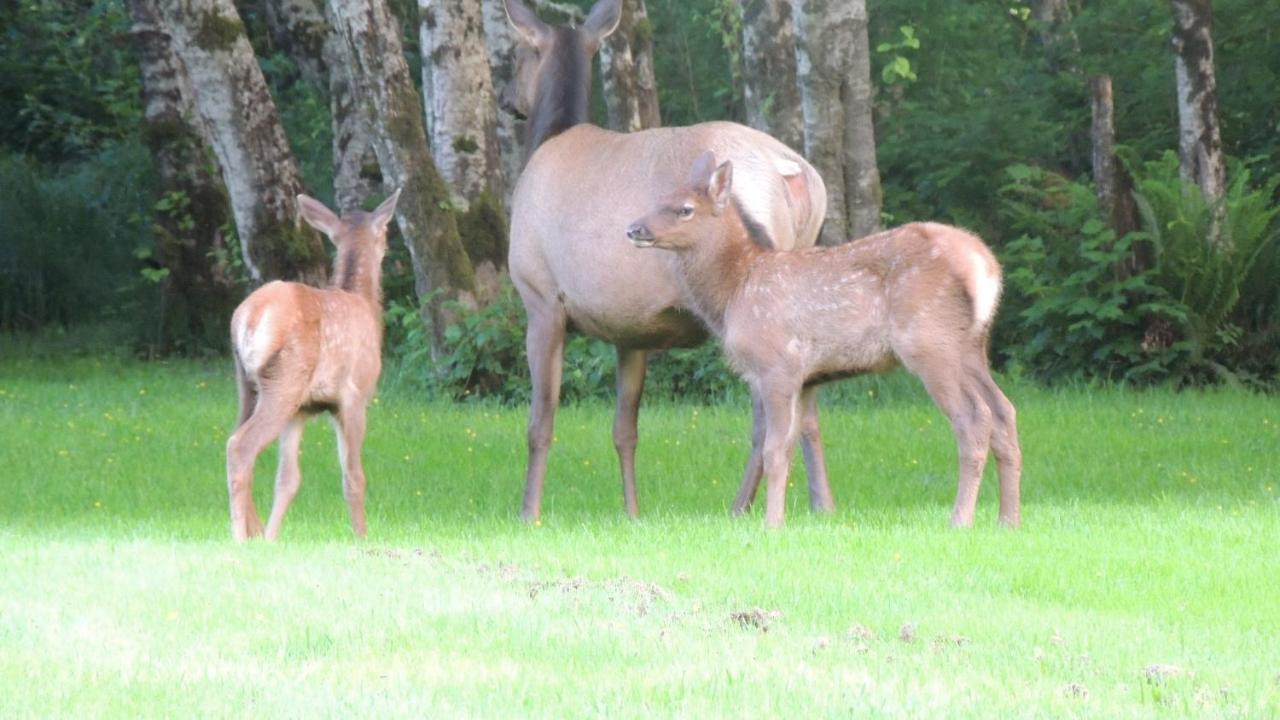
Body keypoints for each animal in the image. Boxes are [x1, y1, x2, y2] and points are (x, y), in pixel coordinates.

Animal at [222, 190, 396, 538]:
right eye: (385, 232)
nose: (390, 248)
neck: (365, 305)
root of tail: (250, 318)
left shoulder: (301, 412)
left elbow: (288, 480)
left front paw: (272, 537)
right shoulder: (354, 396)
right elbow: (354, 477)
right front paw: (362, 537)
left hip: (248, 385)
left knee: (238, 439)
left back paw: (255, 531)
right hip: (284, 380)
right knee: (240, 445)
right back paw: (240, 537)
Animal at [624, 151, 1024, 525]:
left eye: (684, 209)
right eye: (660, 198)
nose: (634, 229)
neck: (733, 293)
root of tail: (984, 266)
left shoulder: (777, 364)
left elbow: (773, 450)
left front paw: (772, 524)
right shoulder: (805, 378)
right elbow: (790, 448)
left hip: (929, 341)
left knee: (974, 418)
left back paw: (960, 520)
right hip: (972, 347)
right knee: (1004, 410)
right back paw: (1007, 520)